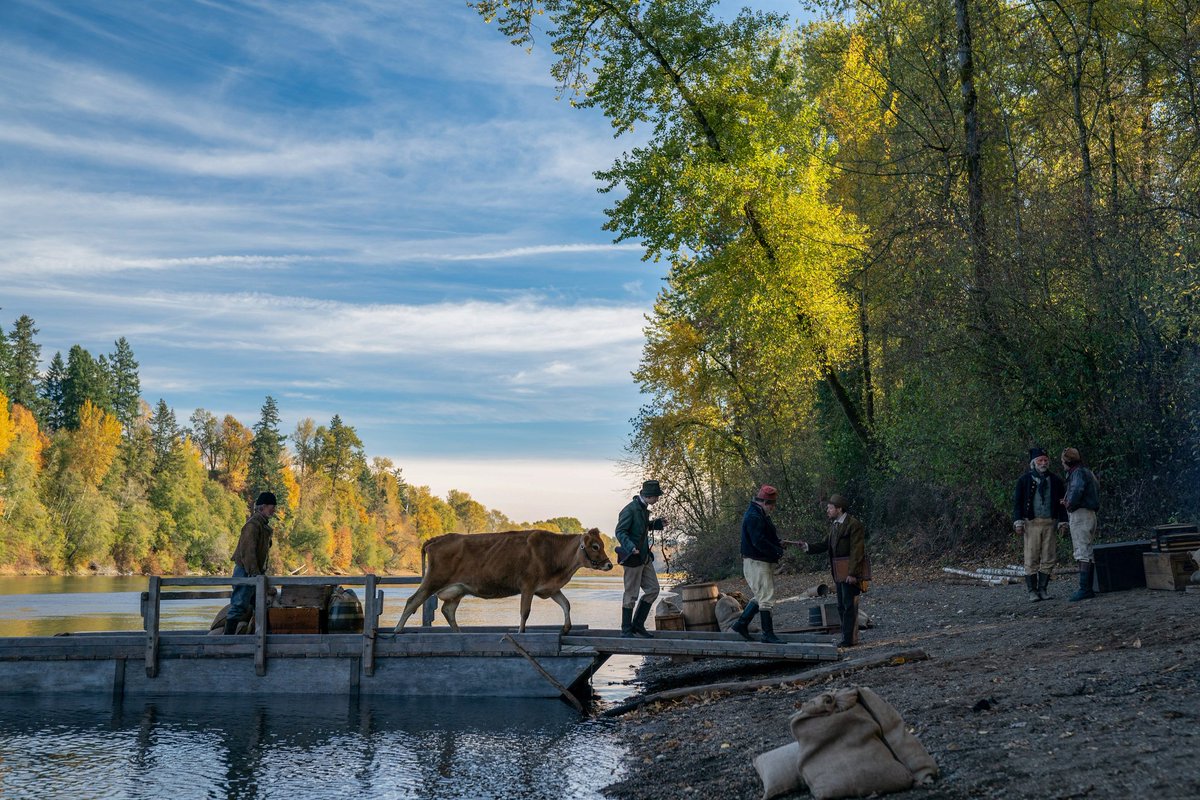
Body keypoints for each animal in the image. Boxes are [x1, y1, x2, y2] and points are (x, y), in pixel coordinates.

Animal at [393, 527, 613, 634]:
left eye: (601, 544)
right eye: (595, 546)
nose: (610, 564)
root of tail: (437, 538)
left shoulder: (549, 588)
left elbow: (566, 604)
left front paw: (566, 628)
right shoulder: (528, 585)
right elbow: (525, 612)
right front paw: (520, 632)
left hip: (457, 590)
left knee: (448, 610)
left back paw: (459, 633)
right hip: (433, 580)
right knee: (412, 601)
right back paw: (397, 630)